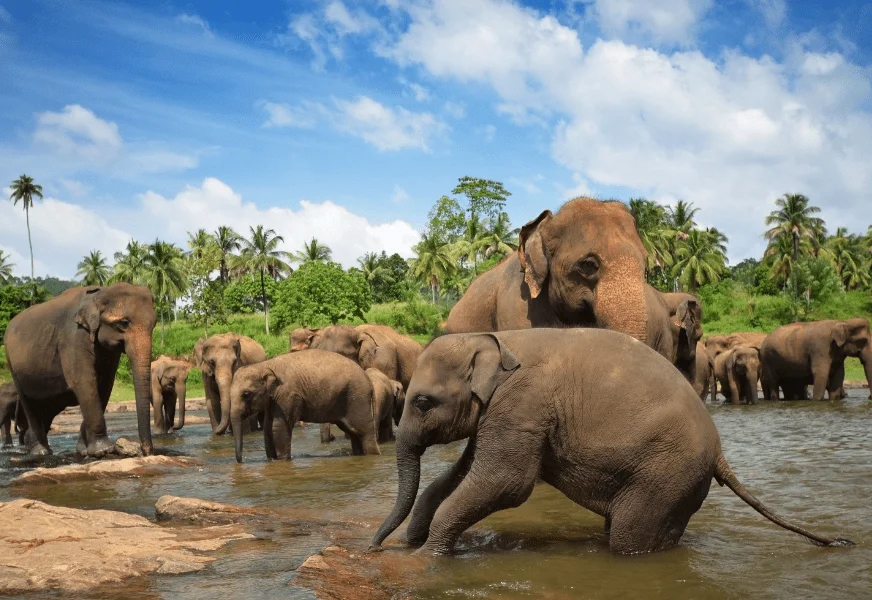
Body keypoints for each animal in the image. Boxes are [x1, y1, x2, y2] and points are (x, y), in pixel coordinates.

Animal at [4, 284, 155, 457]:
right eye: (124, 323)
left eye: (154, 324)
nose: (146, 451)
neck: (99, 294)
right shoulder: (73, 338)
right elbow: (85, 383)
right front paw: (103, 450)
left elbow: (104, 386)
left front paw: (84, 450)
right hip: (13, 368)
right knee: (30, 404)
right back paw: (41, 451)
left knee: (47, 408)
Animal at [229, 349, 380, 462]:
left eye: (246, 394)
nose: (242, 461)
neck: (264, 365)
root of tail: (369, 381)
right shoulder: (272, 399)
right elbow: (267, 427)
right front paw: (271, 459)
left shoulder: (287, 395)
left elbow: (279, 426)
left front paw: (282, 460)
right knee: (352, 431)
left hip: (357, 398)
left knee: (364, 431)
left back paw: (373, 456)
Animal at [370, 328, 852, 555]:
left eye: (424, 402)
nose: (373, 546)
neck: (496, 340)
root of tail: (719, 453)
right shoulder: (502, 413)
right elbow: (465, 472)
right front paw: (416, 541)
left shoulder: (522, 404)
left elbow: (506, 482)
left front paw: (429, 556)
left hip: (666, 473)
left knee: (628, 538)